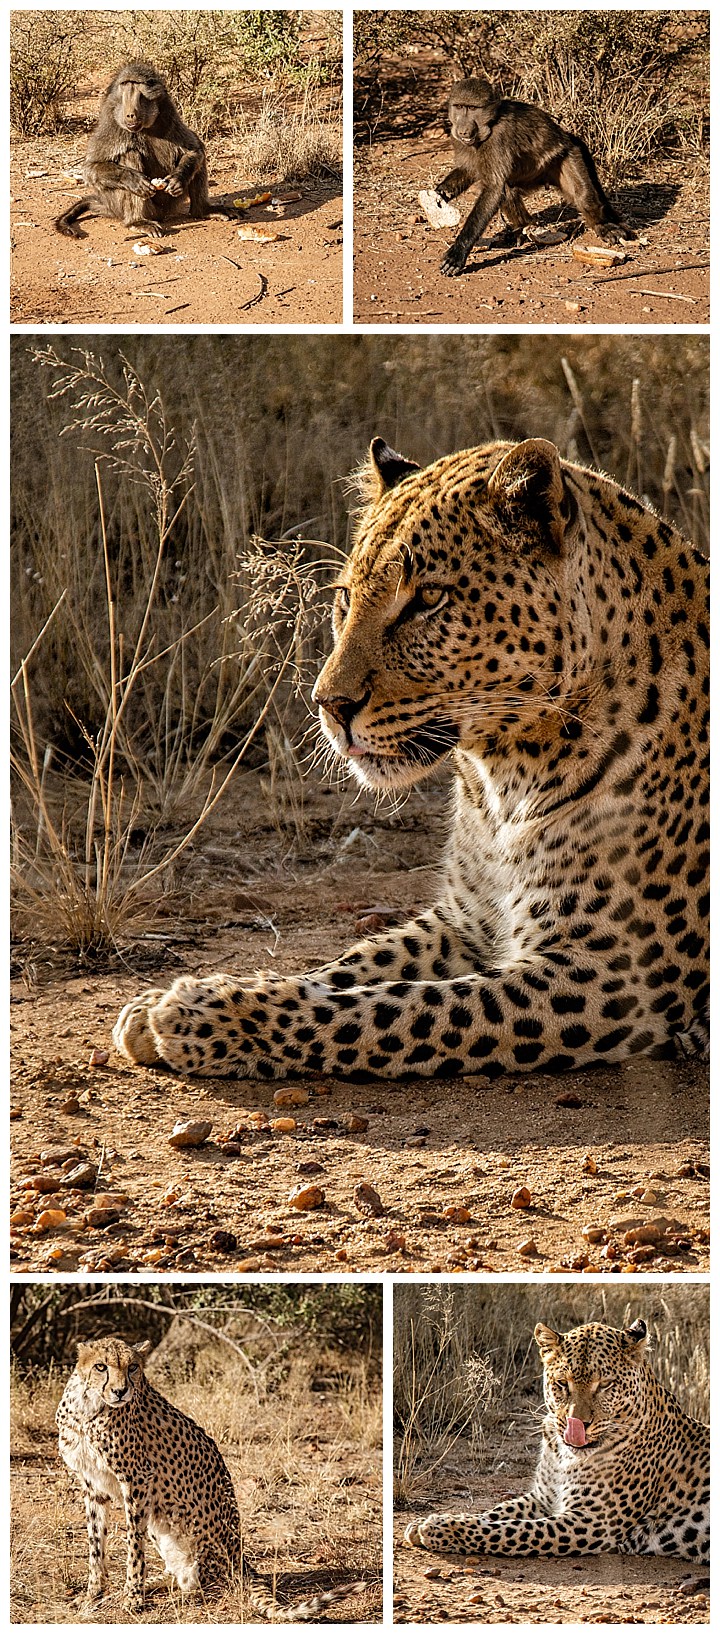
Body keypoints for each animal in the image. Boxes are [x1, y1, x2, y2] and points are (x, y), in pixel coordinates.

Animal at [56, 1339, 364, 1620]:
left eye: (132, 1367)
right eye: (101, 1367)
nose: (120, 1391)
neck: (88, 1406)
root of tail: (242, 1558)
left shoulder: (137, 1479)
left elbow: (133, 1545)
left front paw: (132, 1597)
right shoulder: (92, 1485)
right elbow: (96, 1544)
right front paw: (94, 1593)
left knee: (203, 1584)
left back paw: (161, 1592)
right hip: (159, 1522)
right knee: (180, 1576)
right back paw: (150, 1584)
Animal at [112, 441, 708, 1091]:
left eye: (427, 600)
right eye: (346, 598)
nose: (328, 704)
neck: (503, 782)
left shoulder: (608, 973)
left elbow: (388, 1010)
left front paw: (205, 1014)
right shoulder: (463, 919)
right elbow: (352, 965)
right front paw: (166, 1003)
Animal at [401, 1313, 708, 1555]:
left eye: (606, 1385)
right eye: (562, 1383)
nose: (577, 1425)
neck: (564, 1456)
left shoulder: (593, 1521)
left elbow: (511, 1530)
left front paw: (440, 1528)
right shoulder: (543, 1496)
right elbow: (496, 1513)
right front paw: (430, 1522)